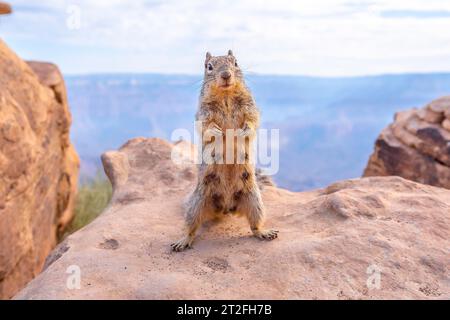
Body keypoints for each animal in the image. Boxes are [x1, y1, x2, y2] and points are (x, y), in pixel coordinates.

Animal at [171, 49, 278, 252]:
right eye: (209, 66)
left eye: (235, 62)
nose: (226, 75)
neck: (226, 95)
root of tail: (226, 208)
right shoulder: (203, 112)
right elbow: (205, 126)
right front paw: (217, 132)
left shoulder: (250, 107)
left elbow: (253, 120)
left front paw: (243, 131)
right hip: (196, 204)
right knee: (192, 227)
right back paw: (183, 241)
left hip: (255, 201)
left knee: (254, 225)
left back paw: (265, 232)